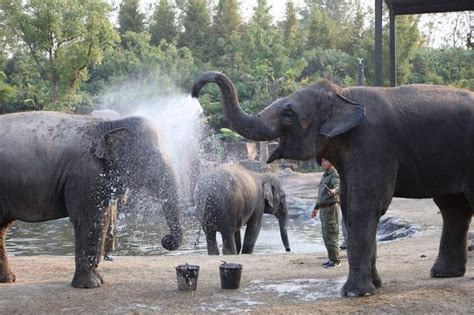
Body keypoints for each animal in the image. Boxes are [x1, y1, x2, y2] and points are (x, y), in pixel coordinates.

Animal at [0, 112, 181, 290]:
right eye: (151, 159)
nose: (166, 240)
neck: (109, 124)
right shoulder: (86, 173)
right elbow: (89, 219)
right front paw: (90, 285)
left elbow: (103, 219)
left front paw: (99, 280)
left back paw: (8, 279)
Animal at [193, 70, 474, 298]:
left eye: (288, 113)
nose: (194, 92)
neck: (343, 95)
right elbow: (349, 205)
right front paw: (375, 285)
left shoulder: (373, 145)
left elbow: (366, 205)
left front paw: (354, 294)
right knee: (453, 207)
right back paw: (443, 273)